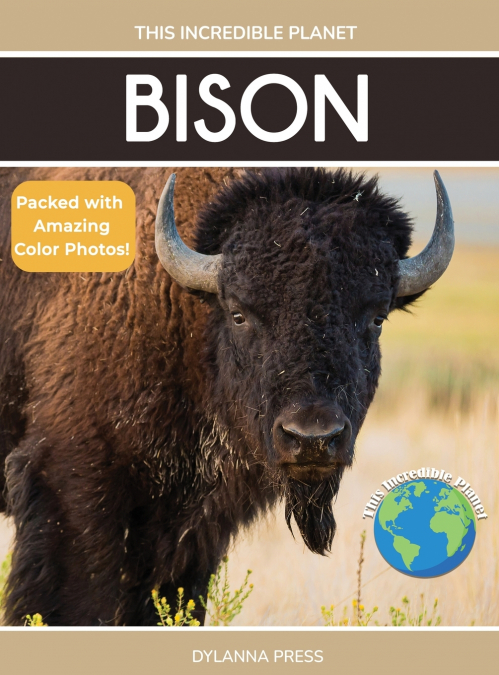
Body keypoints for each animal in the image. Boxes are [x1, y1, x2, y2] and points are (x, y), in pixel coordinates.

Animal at [0, 167, 454, 625]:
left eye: (376, 318)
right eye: (239, 314)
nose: (313, 438)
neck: (183, 312)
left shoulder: (194, 528)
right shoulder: (71, 487)